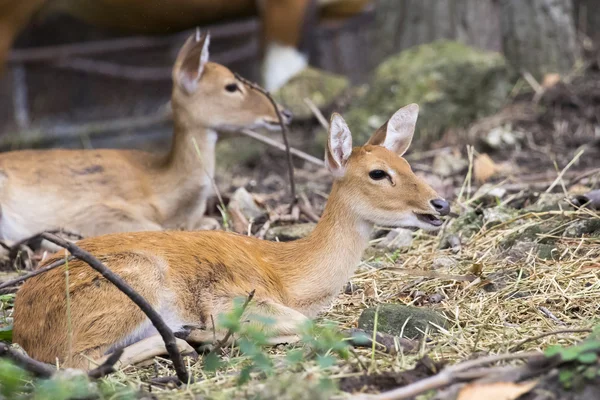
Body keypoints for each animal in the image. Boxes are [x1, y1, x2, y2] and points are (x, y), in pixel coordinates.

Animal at [12, 103, 450, 368]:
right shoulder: (231, 297)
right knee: (77, 362)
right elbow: (309, 326)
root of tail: (22, 328)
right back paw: (193, 337)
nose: (441, 204)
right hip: (133, 282)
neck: (290, 277)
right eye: (378, 173)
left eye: (408, 164)